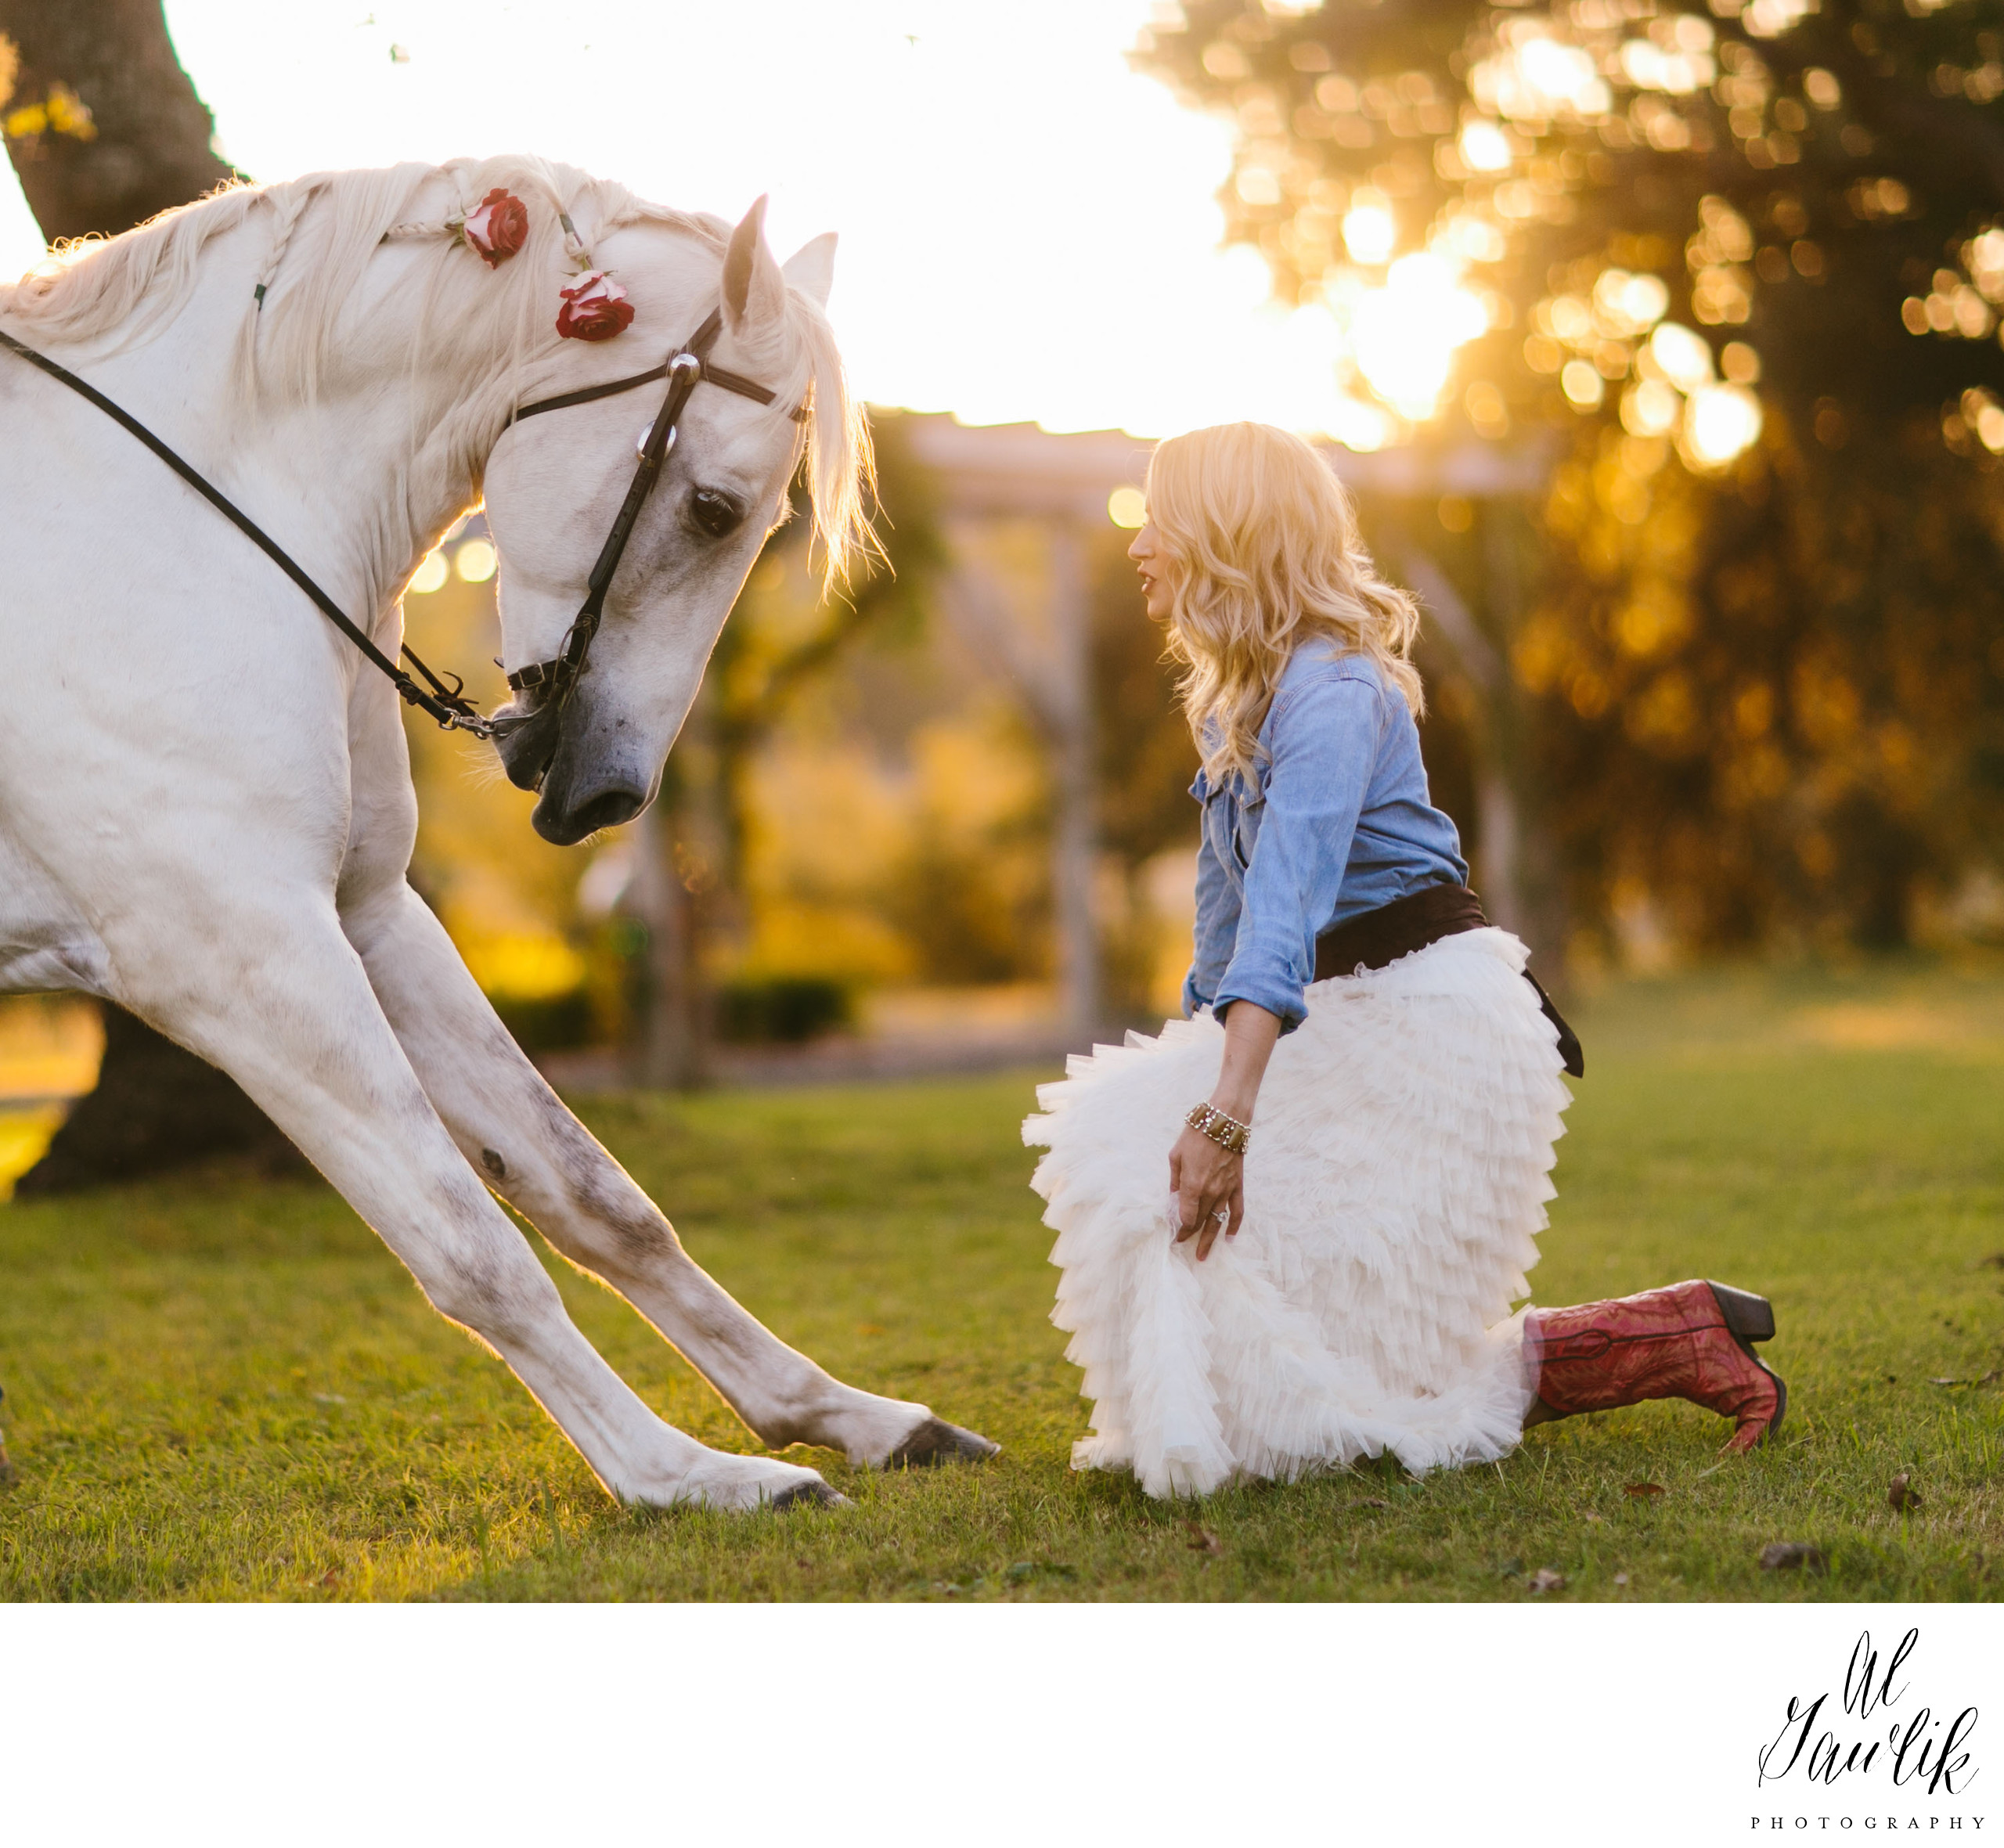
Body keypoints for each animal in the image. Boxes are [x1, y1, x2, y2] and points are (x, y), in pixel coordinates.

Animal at [0, 158, 993, 1507]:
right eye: (715, 507)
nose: (612, 797)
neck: (171, 527)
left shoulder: (367, 917)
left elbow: (591, 1194)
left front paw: (845, 1414)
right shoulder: (238, 958)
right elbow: (471, 1248)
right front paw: (684, 1475)